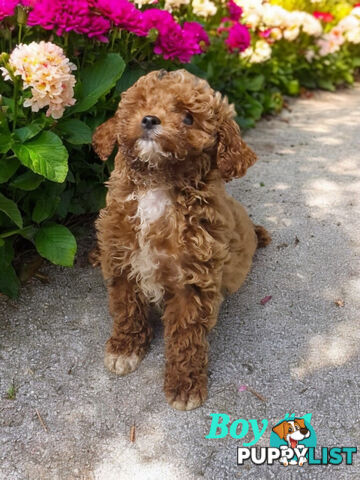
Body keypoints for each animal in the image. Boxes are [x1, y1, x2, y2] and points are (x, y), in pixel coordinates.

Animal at [92, 69, 270, 410]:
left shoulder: (193, 280)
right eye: (141, 104)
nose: (149, 119)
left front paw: (184, 384)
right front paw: (125, 347)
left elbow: (186, 336)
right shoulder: (121, 259)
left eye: (188, 117)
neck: (157, 185)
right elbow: (126, 307)